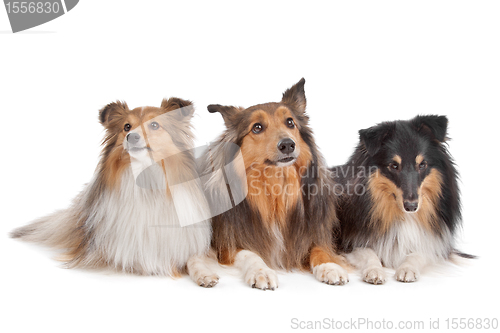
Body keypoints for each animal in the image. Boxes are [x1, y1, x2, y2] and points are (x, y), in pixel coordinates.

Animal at [11, 97, 219, 286]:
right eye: (127, 126)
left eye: (154, 125)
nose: (132, 136)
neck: (146, 176)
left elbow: (194, 258)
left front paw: (205, 275)